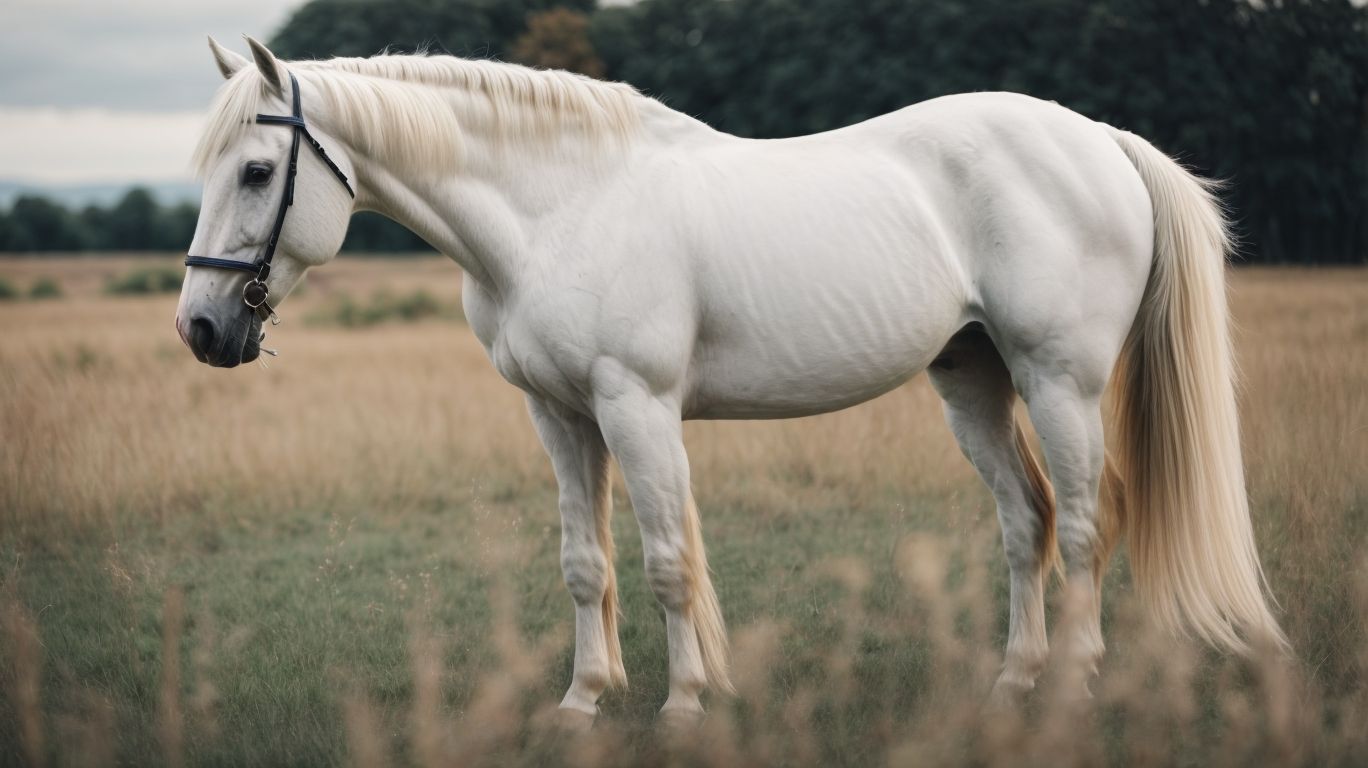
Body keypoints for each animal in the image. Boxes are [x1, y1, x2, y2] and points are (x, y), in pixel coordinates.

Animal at [176, 36, 1288, 725]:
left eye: (257, 172)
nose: (200, 327)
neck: (560, 207)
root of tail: (1100, 139)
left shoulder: (636, 405)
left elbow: (669, 561)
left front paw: (685, 704)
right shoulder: (559, 415)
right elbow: (586, 563)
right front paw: (583, 702)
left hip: (1058, 381)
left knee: (1091, 524)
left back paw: (1074, 688)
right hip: (973, 381)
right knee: (1029, 524)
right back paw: (1014, 683)